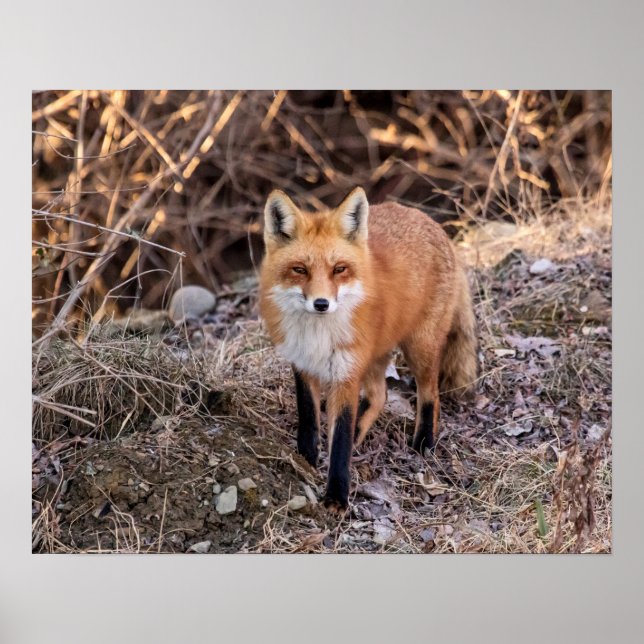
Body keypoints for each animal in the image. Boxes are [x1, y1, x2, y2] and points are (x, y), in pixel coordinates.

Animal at [259, 187, 478, 510]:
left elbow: (340, 440)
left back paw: (424, 443)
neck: (318, 335)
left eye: (339, 269)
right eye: (300, 269)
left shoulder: (346, 374)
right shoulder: (302, 364)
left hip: (419, 347)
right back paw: (362, 432)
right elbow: (309, 418)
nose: (321, 304)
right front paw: (306, 457)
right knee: (379, 395)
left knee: (431, 394)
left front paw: (336, 497)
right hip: (375, 354)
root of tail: (430, 222)